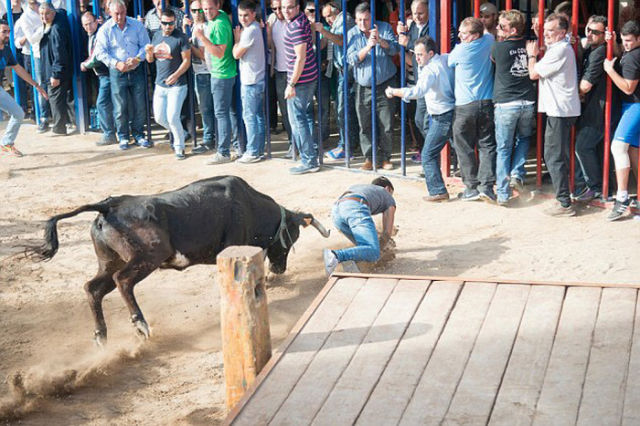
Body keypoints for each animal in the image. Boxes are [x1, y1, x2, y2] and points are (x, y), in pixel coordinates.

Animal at [27, 175, 329, 346]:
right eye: (291, 239)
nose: (280, 269)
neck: (249, 204)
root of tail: (109, 205)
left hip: (109, 260)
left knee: (93, 288)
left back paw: (101, 335)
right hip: (149, 256)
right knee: (122, 281)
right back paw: (140, 324)